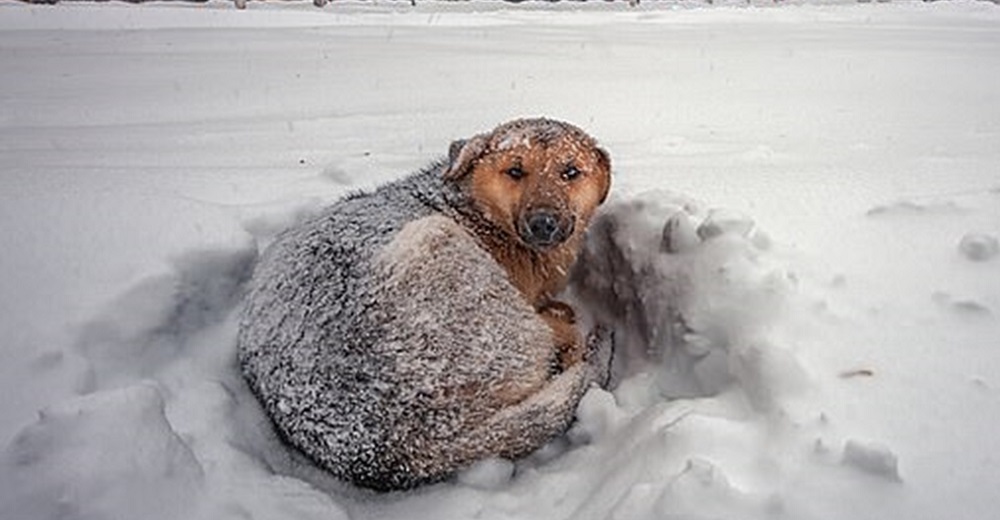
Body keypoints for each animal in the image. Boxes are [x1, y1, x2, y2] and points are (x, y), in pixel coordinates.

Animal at [238, 118, 612, 492]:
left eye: (570, 172)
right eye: (515, 171)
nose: (544, 224)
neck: (476, 212)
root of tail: (397, 448)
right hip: (443, 255)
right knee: (557, 345)